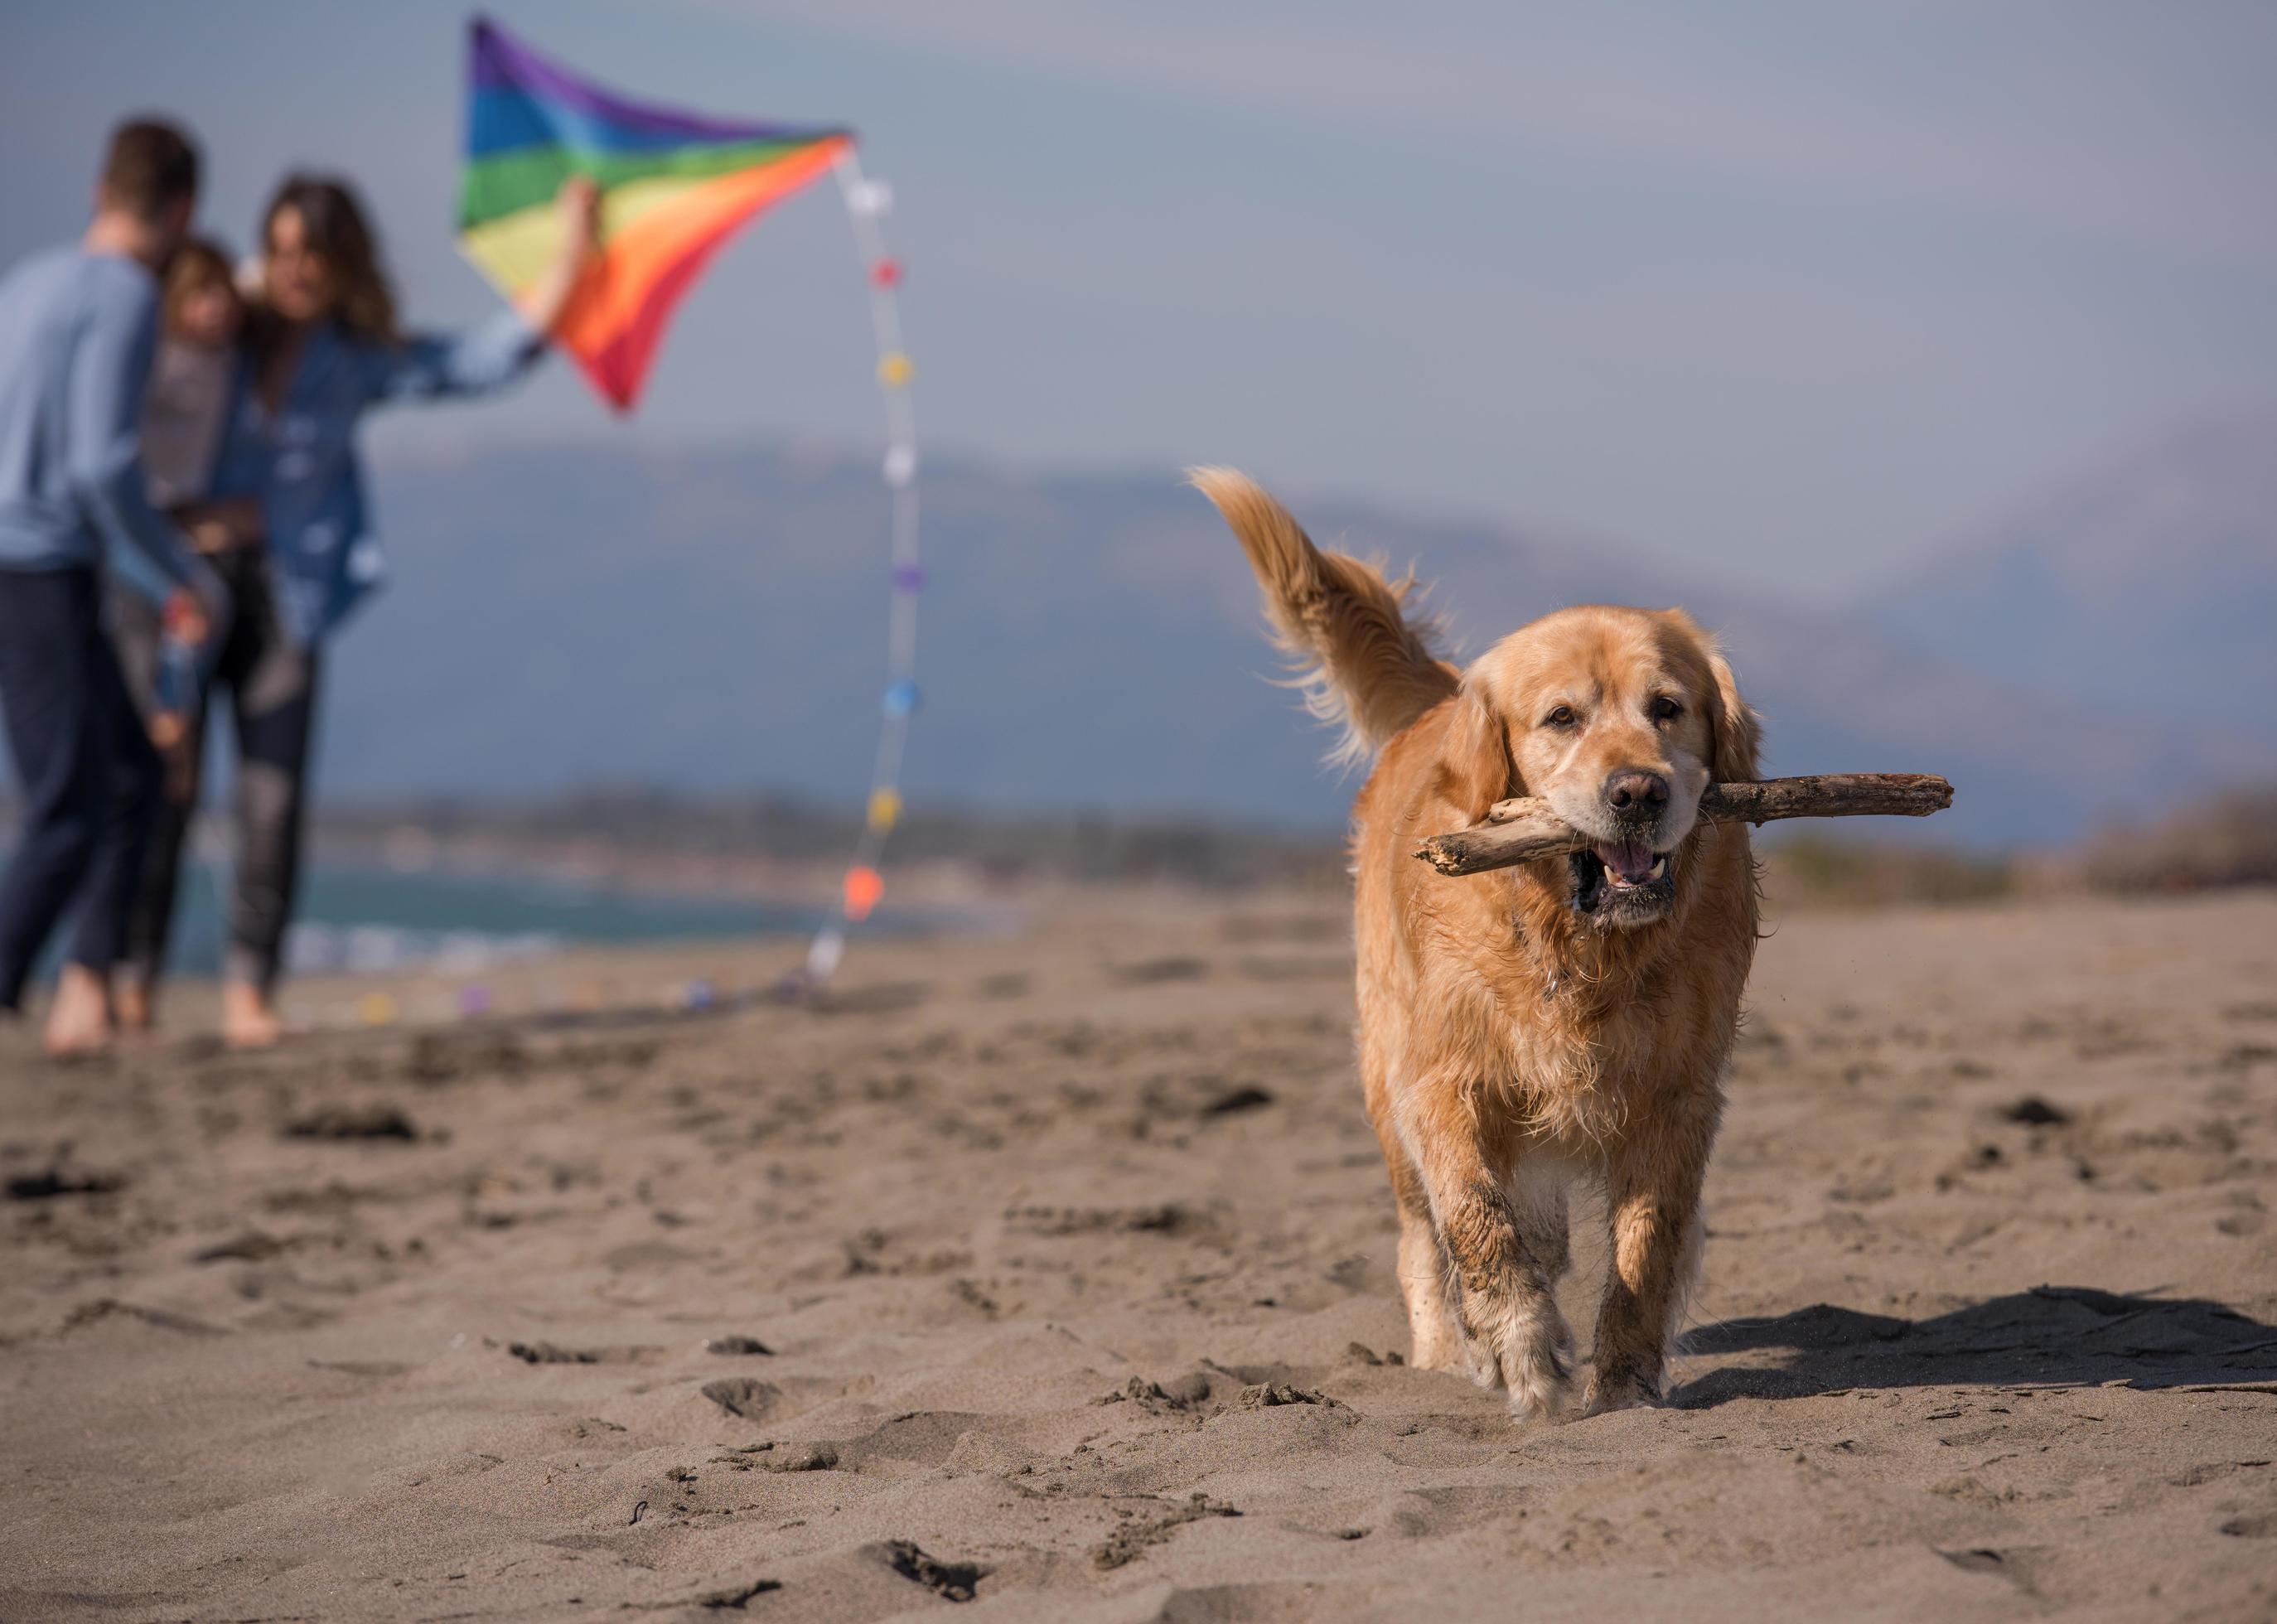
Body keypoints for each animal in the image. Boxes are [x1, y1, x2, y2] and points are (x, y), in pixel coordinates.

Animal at [1192, 469, 1757, 1421]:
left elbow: (1645, 1247)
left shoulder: (1679, 1094)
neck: (1579, 948)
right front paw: (1523, 1355)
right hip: (1384, 1078)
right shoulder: (1442, 1079)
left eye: (1669, 709)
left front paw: (1626, 1378)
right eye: (1561, 717)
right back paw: (1442, 1352)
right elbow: (1475, 1221)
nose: (1638, 792)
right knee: (1425, 1236)